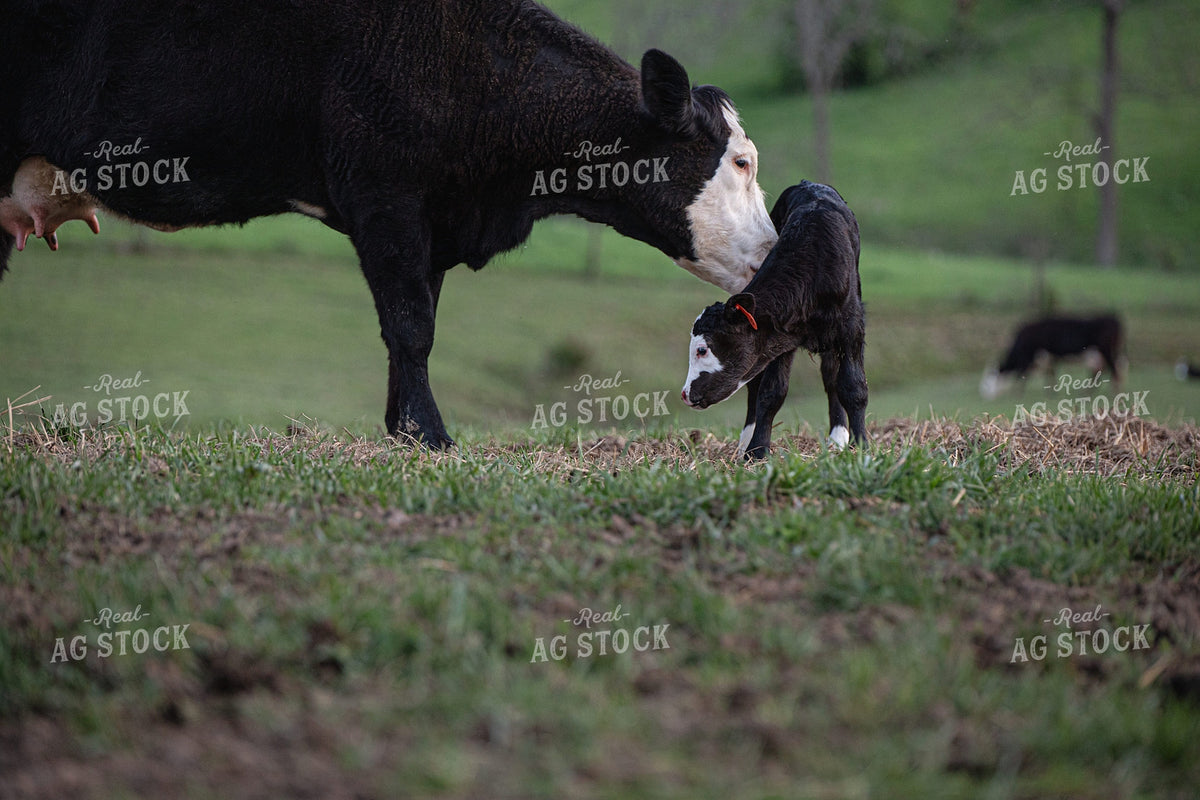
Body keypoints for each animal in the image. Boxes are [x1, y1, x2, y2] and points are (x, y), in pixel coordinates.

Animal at [0, 0, 778, 448]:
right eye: (742, 160)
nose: (772, 250)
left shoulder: (432, 223)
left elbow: (412, 325)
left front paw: (400, 429)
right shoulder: (386, 198)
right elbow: (410, 325)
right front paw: (430, 437)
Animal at [680, 181, 868, 460]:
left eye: (702, 349)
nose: (685, 394)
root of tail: (809, 184)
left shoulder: (851, 327)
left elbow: (853, 387)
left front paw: (862, 445)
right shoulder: (780, 338)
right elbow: (771, 392)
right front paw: (757, 450)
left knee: (831, 375)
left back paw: (838, 436)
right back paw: (745, 441)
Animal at [980, 314, 1124, 399]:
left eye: (987, 382)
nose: (983, 394)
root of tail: (1111, 317)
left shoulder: (1038, 357)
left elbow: (1024, 375)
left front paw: (1018, 393)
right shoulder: (1048, 358)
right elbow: (1049, 374)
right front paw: (1051, 392)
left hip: (1104, 351)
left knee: (1113, 369)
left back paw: (1115, 392)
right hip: (1098, 354)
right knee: (1100, 371)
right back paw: (1088, 392)